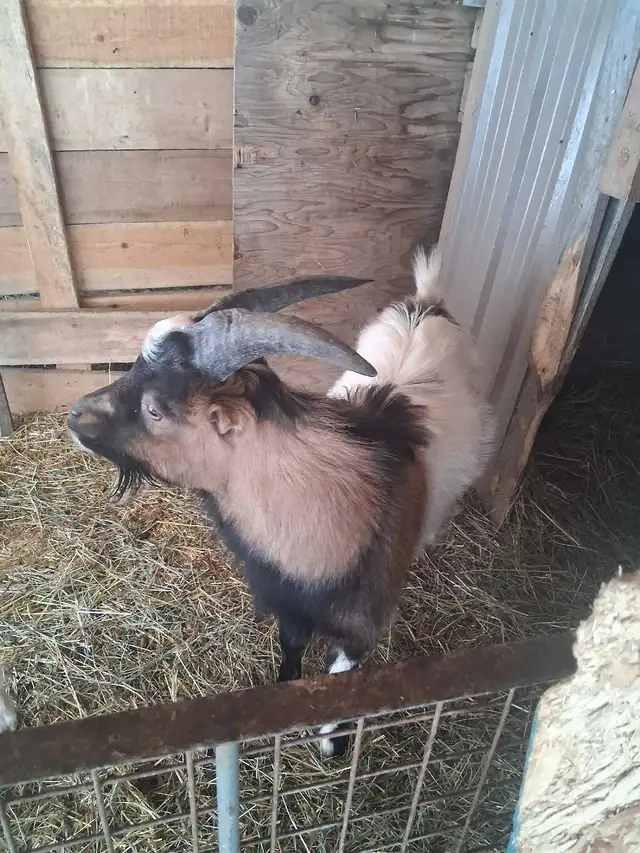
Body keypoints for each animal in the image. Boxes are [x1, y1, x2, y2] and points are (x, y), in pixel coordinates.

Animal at [68, 252, 493, 756]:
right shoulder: (287, 601)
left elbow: (342, 682)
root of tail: (426, 304)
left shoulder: (360, 627)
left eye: (155, 409)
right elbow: (290, 647)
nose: (75, 416)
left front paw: (331, 745)